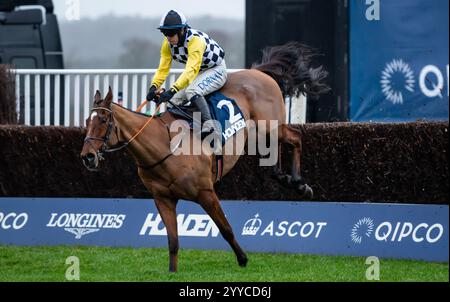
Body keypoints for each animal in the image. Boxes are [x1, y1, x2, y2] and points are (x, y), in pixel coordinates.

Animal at [80, 41, 326, 272]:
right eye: (86, 121)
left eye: (103, 120)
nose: (87, 156)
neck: (163, 145)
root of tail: (258, 72)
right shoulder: (163, 199)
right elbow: (173, 242)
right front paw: (172, 272)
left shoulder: (205, 192)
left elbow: (225, 229)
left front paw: (243, 259)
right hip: (259, 134)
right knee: (275, 154)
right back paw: (286, 178)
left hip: (271, 126)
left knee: (295, 137)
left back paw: (300, 183)